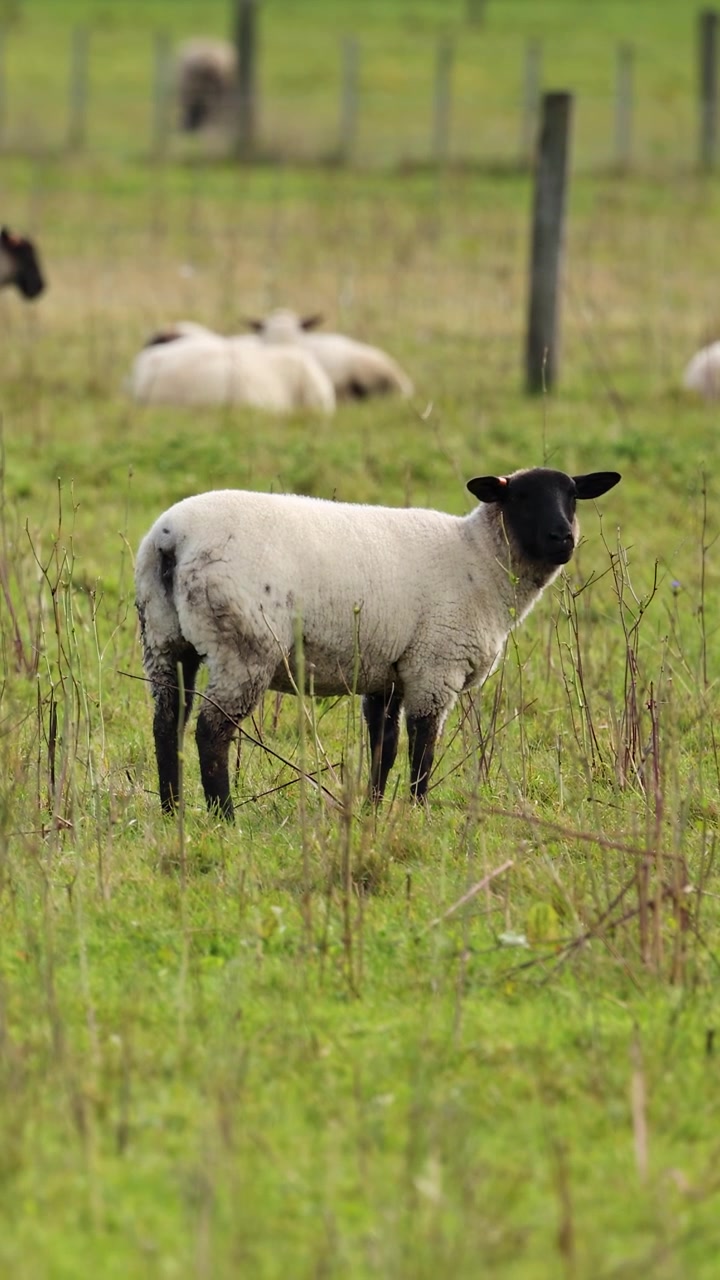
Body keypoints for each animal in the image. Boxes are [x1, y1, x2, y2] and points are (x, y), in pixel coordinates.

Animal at [135, 466, 621, 820]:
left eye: (572, 496)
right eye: (520, 498)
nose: (563, 538)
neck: (481, 559)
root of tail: (172, 539)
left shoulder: (387, 673)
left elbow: (383, 747)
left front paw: (374, 808)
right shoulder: (435, 666)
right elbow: (422, 746)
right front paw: (418, 811)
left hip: (163, 638)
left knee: (167, 724)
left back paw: (172, 811)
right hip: (244, 645)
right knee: (210, 731)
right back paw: (223, 816)